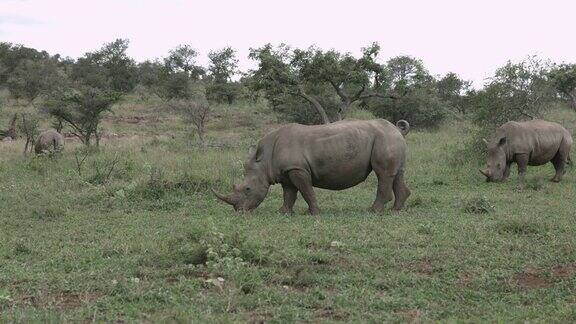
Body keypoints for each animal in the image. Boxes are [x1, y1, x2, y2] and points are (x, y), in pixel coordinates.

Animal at [212, 119, 410, 215]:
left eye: (247, 189)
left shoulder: (297, 169)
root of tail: (397, 129)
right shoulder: (287, 171)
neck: (265, 161)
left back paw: (373, 211)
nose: (239, 211)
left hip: (384, 139)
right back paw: (395, 211)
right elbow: (289, 194)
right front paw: (283, 212)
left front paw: (314, 213)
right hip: (390, 140)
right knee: (396, 174)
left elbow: (306, 191)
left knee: (383, 174)